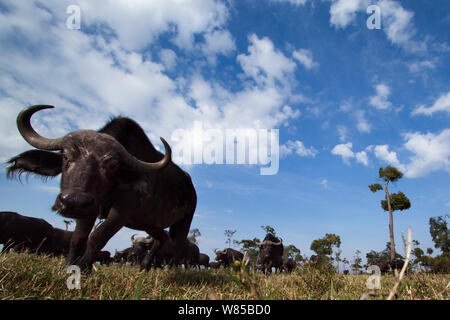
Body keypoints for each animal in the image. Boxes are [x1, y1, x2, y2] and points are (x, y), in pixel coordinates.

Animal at [6, 106, 197, 272]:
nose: (73, 201)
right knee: (160, 239)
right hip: (148, 223)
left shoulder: (121, 213)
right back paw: (144, 267)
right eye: (66, 157)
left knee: (177, 247)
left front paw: (84, 268)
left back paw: (170, 269)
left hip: (184, 222)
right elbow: (77, 239)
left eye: (112, 165)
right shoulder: (89, 209)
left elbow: (97, 237)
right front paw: (69, 267)